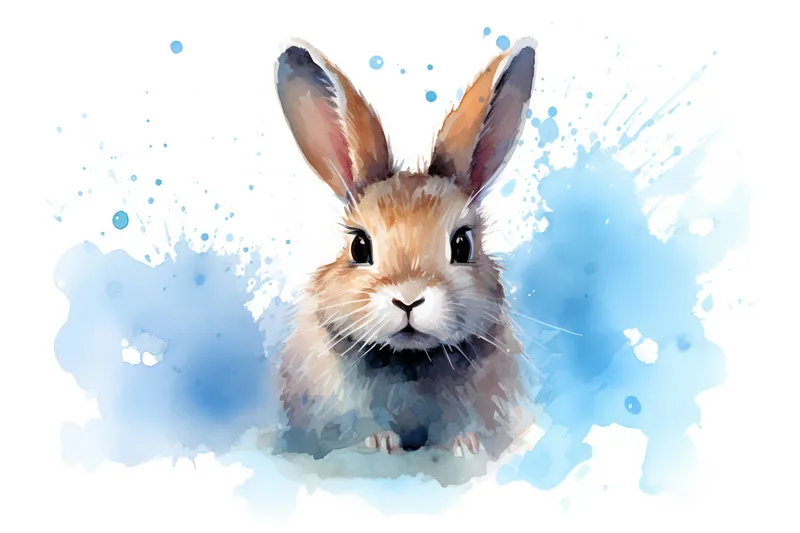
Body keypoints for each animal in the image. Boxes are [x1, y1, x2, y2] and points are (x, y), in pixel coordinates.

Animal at [273, 38, 537, 462]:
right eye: (359, 246)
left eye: (462, 244)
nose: (409, 299)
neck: (410, 358)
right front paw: (381, 442)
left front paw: (465, 445)